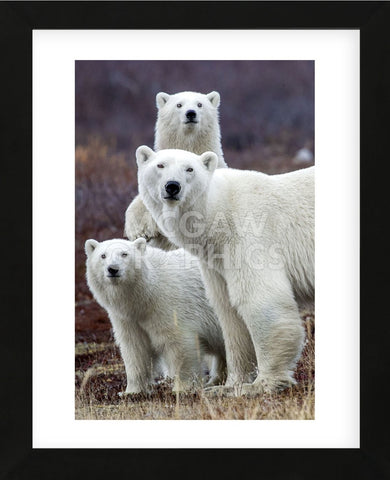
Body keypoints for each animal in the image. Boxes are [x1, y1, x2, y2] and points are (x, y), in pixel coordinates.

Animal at [85, 237, 225, 394]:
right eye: (103, 255)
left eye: (124, 254)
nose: (113, 269)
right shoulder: (127, 318)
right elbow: (135, 348)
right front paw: (131, 391)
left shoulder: (168, 305)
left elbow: (179, 343)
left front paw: (182, 388)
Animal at [136, 146, 316, 398]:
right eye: (160, 165)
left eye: (189, 169)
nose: (172, 186)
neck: (218, 212)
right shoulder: (216, 262)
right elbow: (228, 311)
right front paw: (229, 385)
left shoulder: (250, 236)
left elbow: (260, 299)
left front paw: (262, 384)